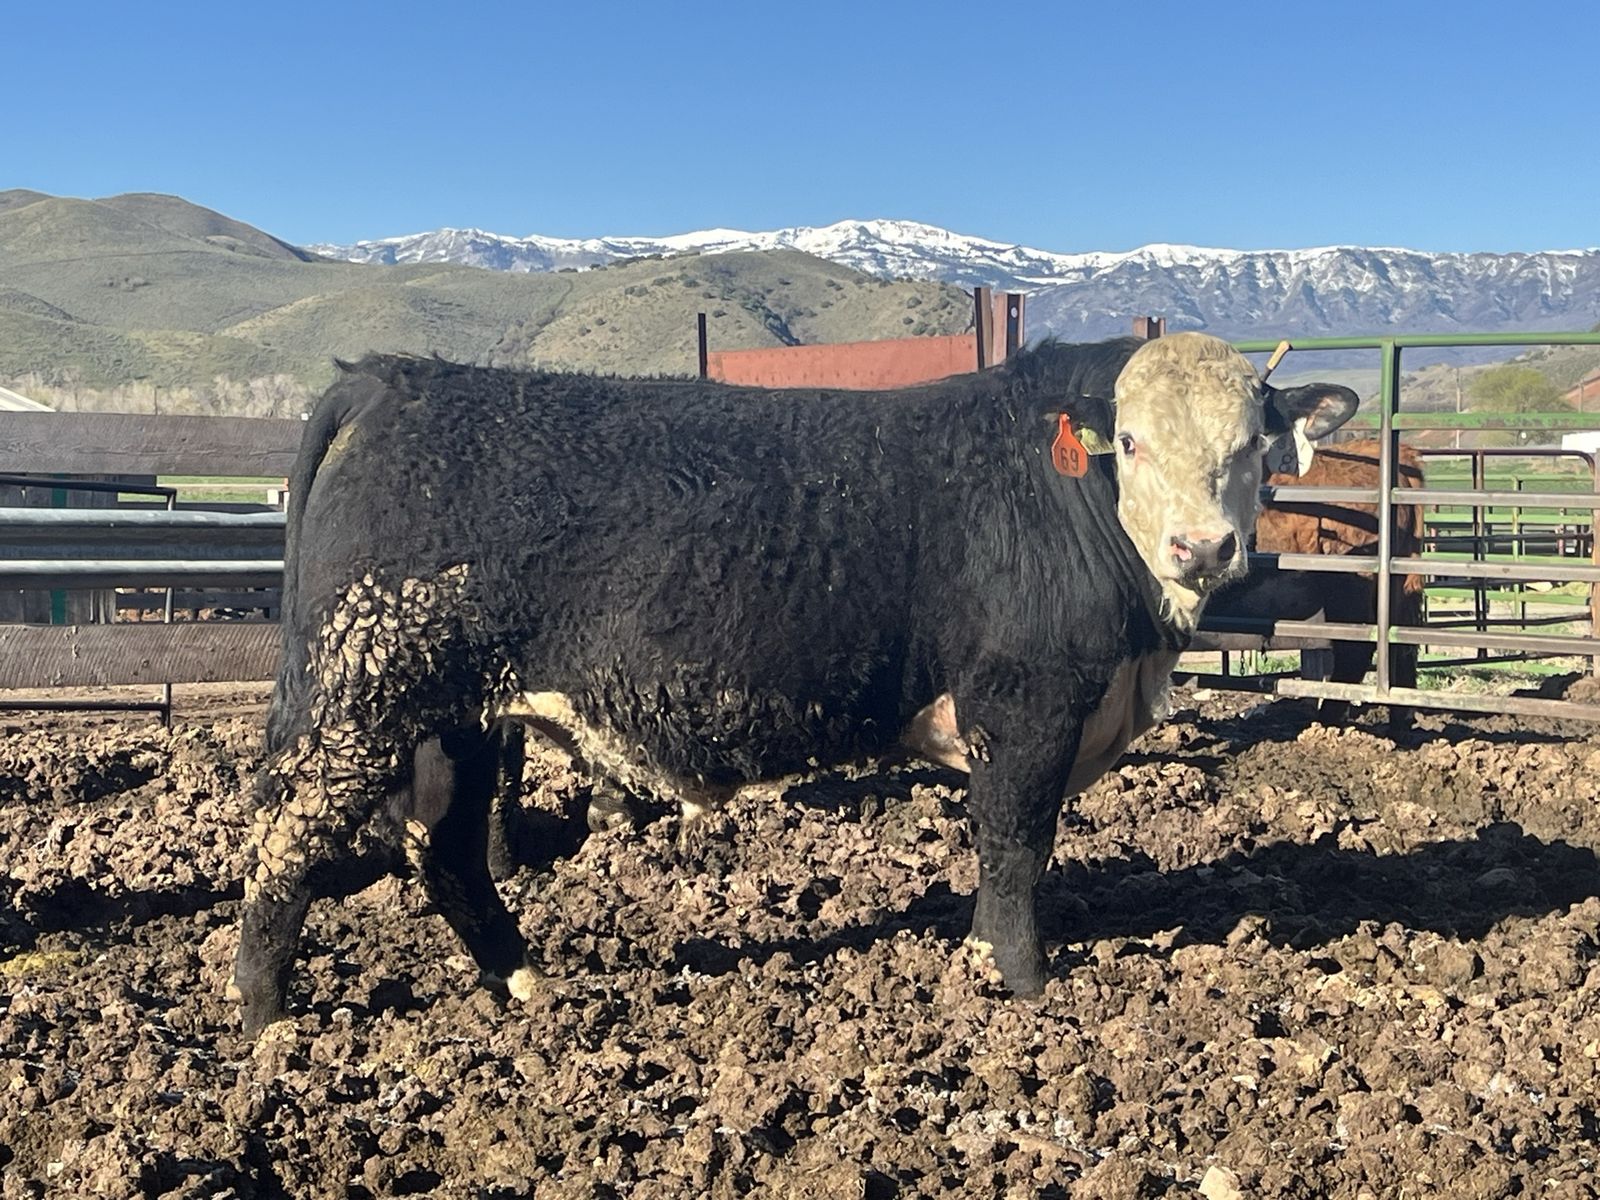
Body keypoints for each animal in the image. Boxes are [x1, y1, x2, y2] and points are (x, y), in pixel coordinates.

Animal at [233, 333, 1358, 1035]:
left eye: (1253, 446)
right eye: (1129, 440)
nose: (1202, 546)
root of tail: (393, 377)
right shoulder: (1025, 705)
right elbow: (1014, 848)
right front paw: (1027, 984)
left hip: (454, 718)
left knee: (448, 847)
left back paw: (523, 980)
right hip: (355, 701)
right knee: (285, 842)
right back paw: (268, 1021)